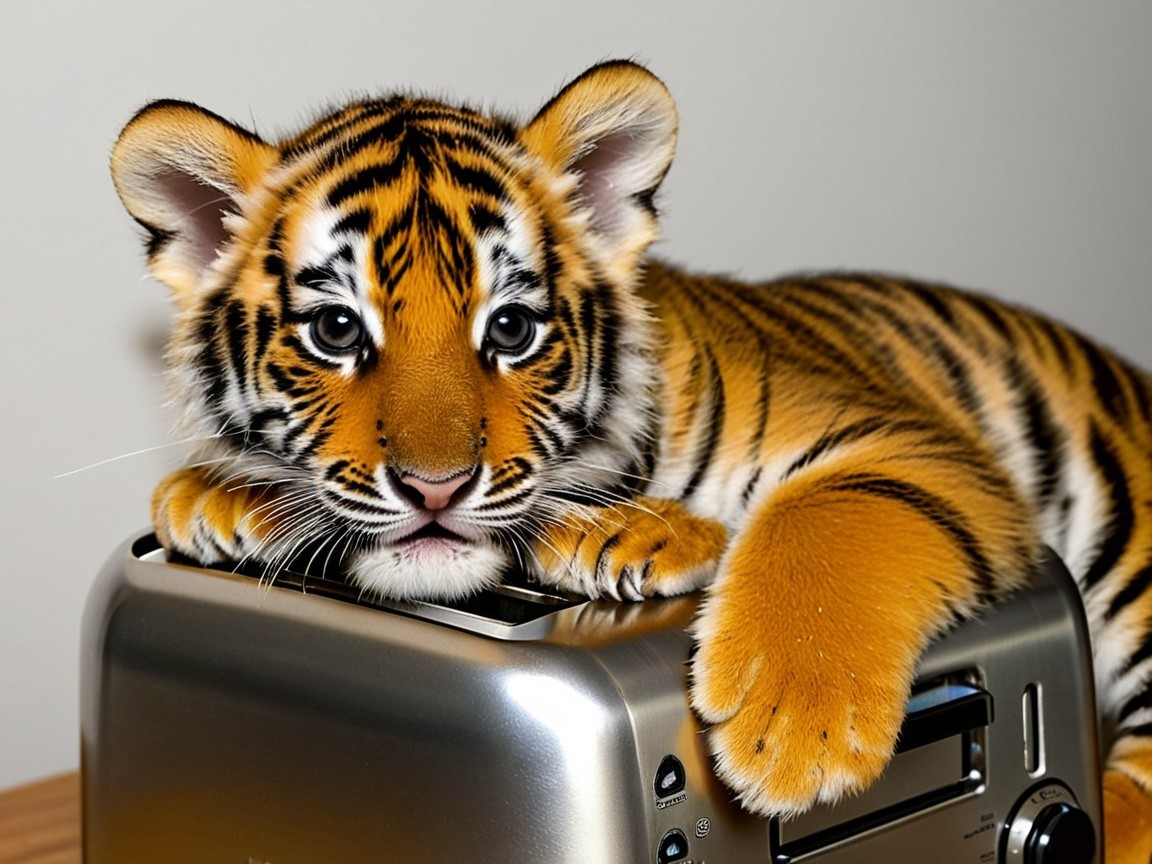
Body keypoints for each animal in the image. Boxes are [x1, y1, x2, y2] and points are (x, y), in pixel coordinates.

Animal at [110, 60, 1152, 860]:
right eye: (335, 331)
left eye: (512, 330)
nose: (435, 487)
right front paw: (214, 497)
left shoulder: (910, 437)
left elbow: (831, 515)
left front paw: (793, 731)